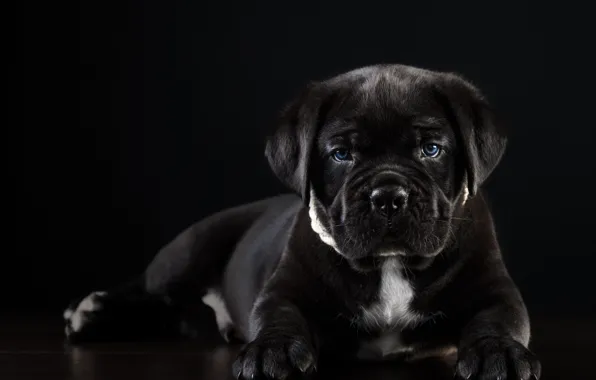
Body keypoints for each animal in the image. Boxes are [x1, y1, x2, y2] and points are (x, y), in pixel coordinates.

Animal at [64, 64, 540, 380]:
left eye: (431, 149)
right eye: (341, 154)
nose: (388, 196)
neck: (388, 266)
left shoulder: (496, 292)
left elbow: (496, 321)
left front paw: (499, 352)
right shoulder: (282, 289)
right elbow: (279, 318)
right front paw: (269, 351)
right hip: (190, 251)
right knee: (150, 290)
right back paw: (86, 312)